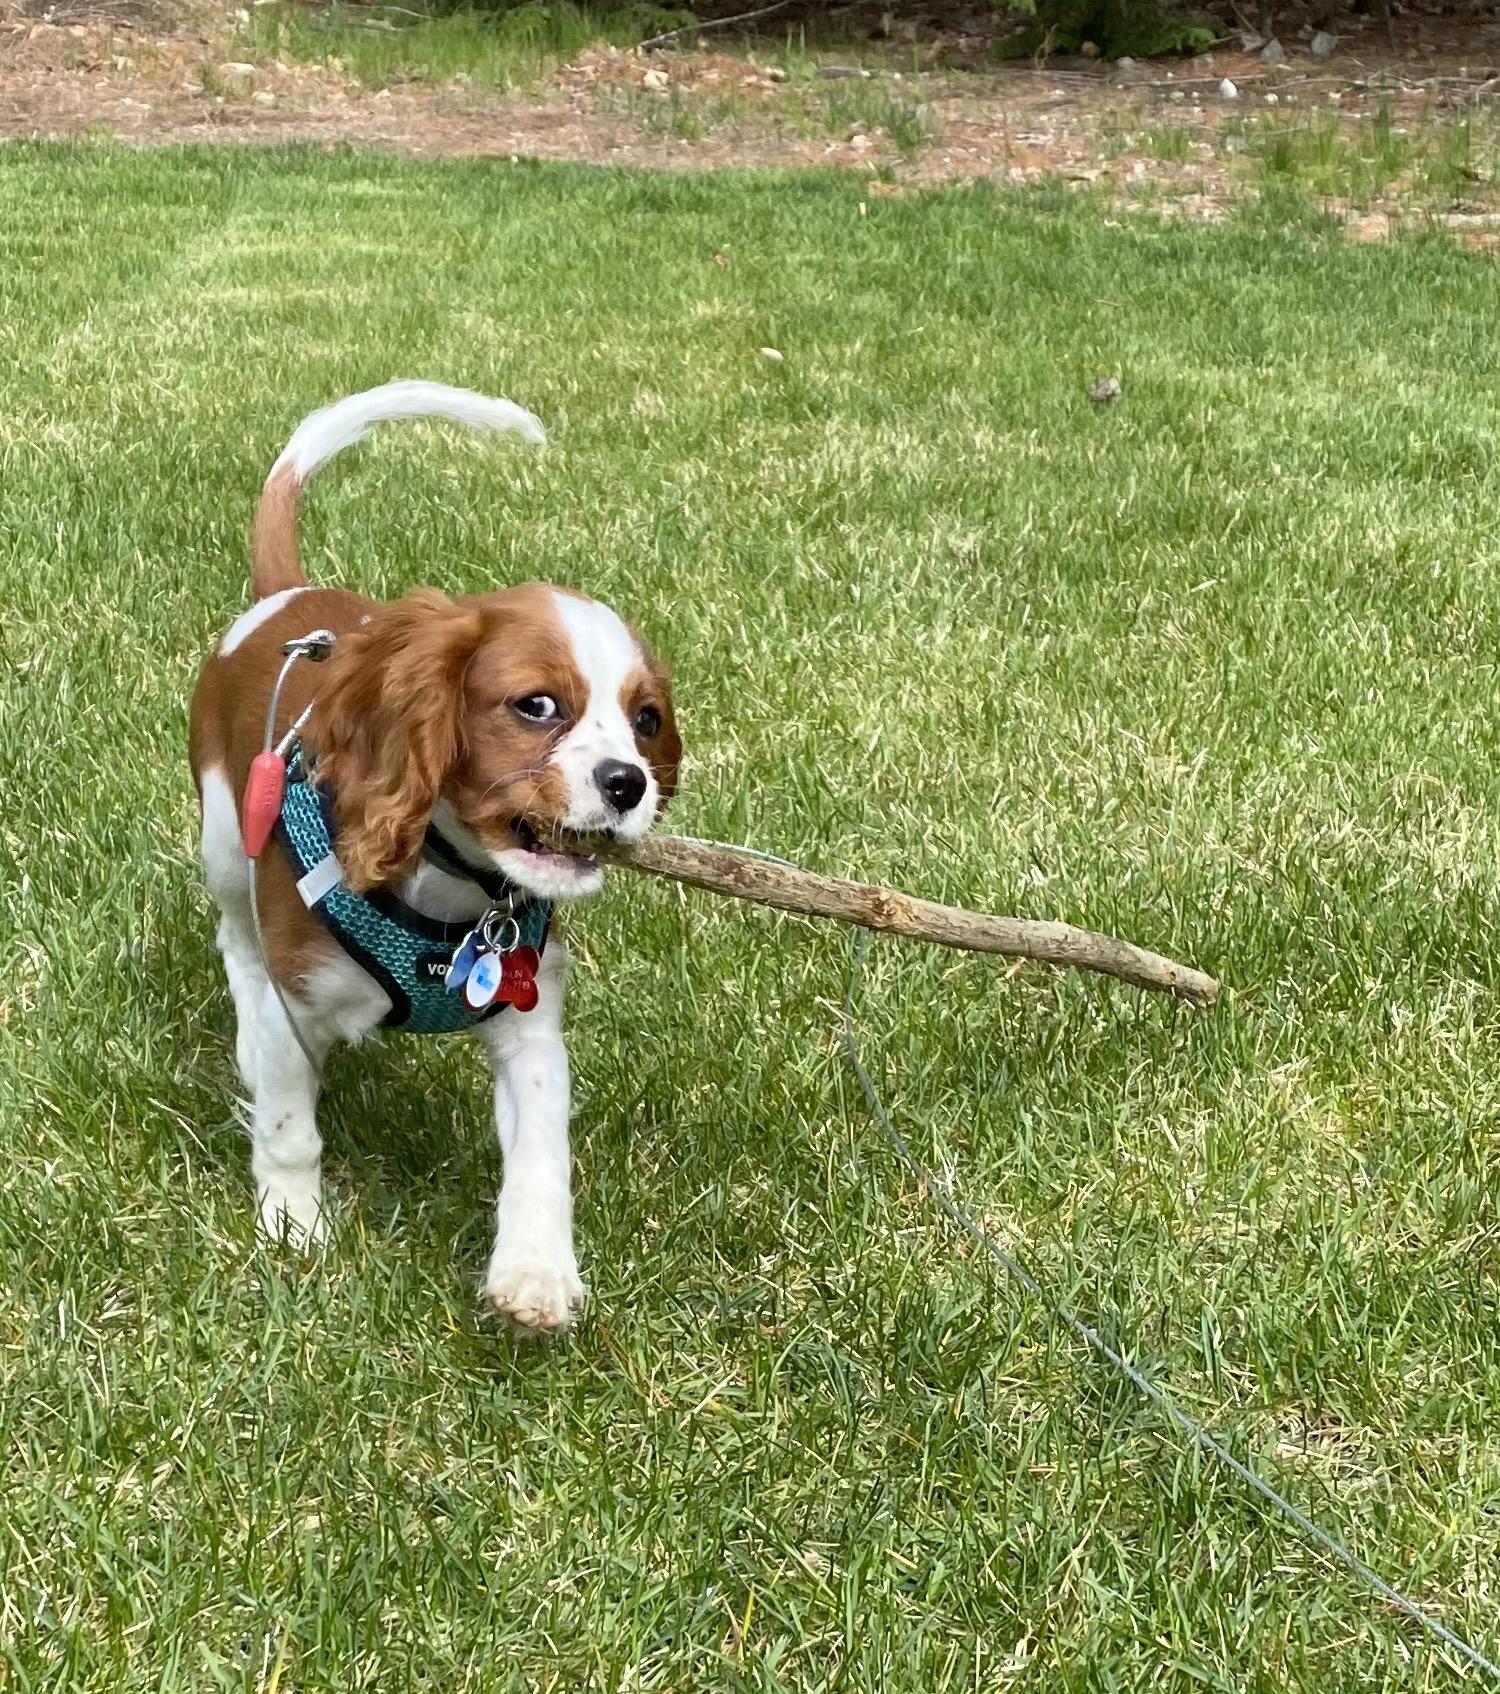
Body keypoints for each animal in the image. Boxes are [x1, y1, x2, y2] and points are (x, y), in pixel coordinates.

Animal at [187, 377, 677, 1328]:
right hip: (226, 838)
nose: (628, 783)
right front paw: (293, 1224)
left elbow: (542, 1153)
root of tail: (285, 598)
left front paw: (536, 1269)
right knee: (235, 938)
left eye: (647, 720)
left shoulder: (531, 1023)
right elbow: (289, 1124)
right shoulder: (294, 1001)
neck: (456, 900)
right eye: (536, 705)